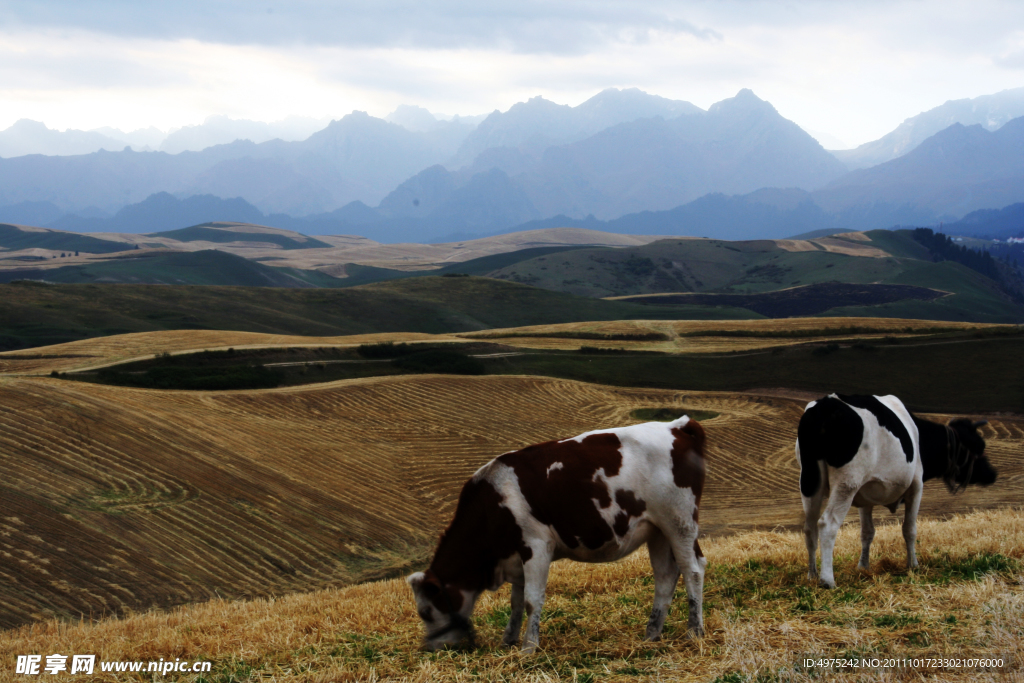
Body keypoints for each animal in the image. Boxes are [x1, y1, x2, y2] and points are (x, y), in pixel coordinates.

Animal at [403, 413, 708, 655]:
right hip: (657, 530)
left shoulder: (536, 545)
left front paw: (528, 648)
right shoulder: (516, 555)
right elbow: (516, 602)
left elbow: (531, 600)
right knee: (665, 576)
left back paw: (694, 632)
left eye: (425, 611)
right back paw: (651, 634)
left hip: (679, 521)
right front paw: (508, 640)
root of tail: (677, 426)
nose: (429, 648)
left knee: (693, 569)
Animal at [794, 393, 995, 589]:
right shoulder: (916, 486)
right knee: (827, 524)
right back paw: (827, 579)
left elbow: (867, 532)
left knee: (810, 528)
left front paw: (863, 566)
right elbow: (909, 529)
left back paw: (812, 575)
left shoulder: (864, 496)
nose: (993, 473)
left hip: (810, 482)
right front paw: (913, 565)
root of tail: (825, 404)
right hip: (846, 483)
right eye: (979, 446)